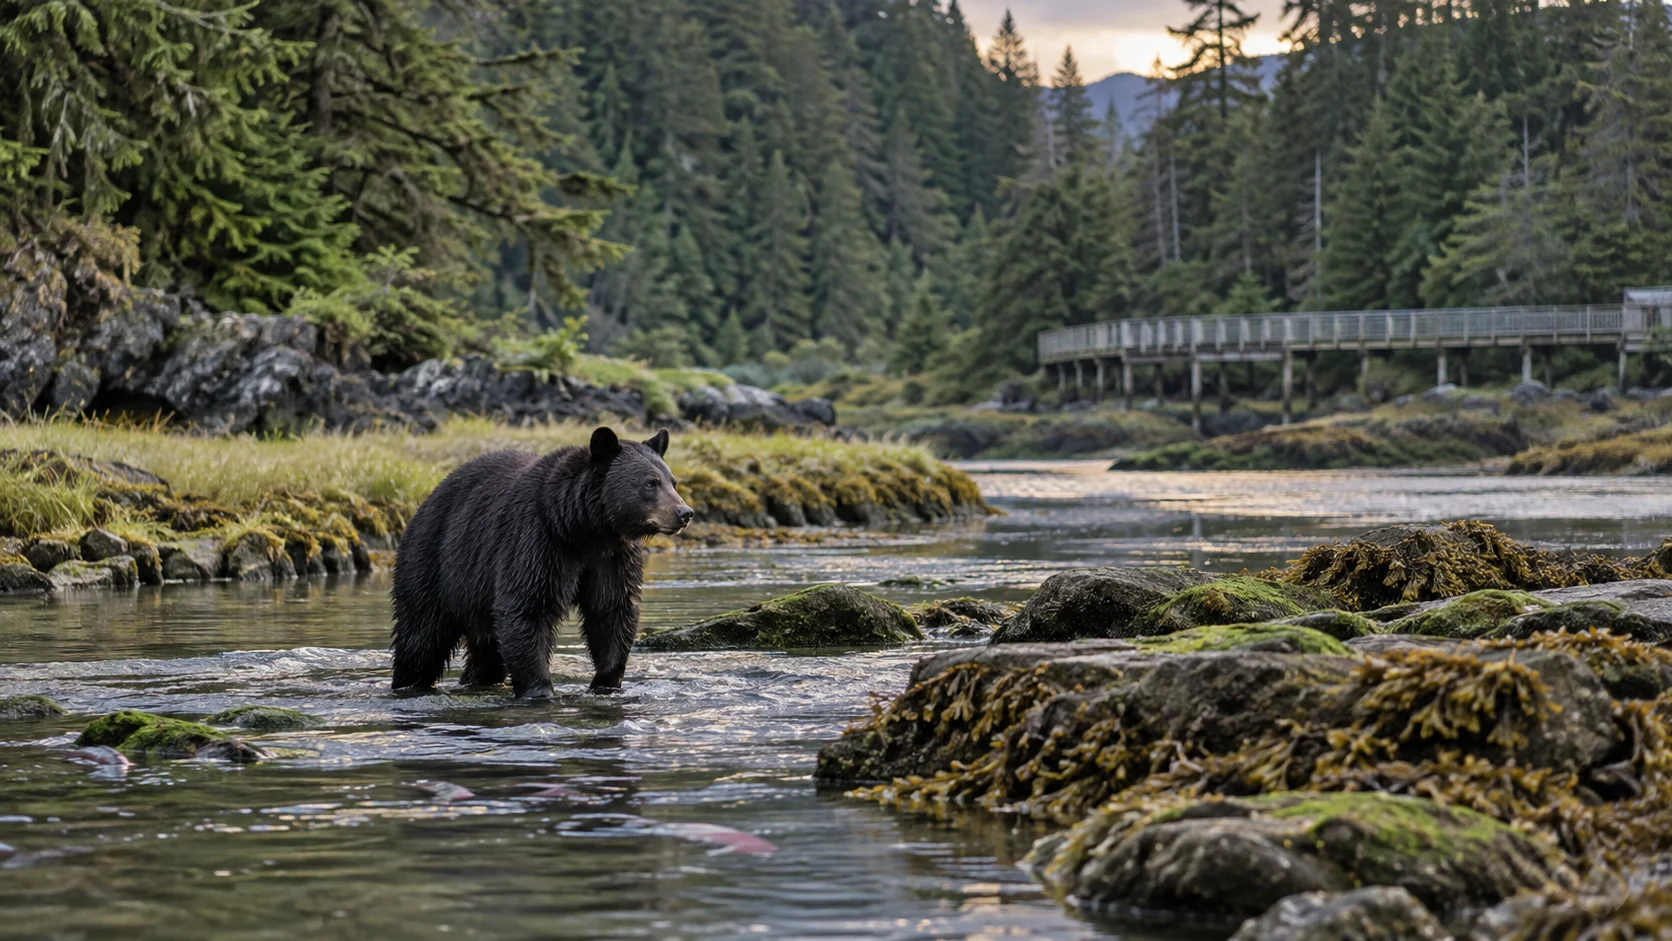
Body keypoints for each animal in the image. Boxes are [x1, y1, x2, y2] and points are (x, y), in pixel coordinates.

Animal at [390, 426, 693, 697]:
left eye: (673, 481)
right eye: (650, 483)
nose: (685, 512)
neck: (582, 529)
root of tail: (424, 505)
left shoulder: (611, 559)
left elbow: (611, 609)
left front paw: (605, 683)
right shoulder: (536, 542)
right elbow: (527, 607)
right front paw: (541, 689)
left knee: (486, 650)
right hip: (434, 564)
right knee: (421, 638)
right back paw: (409, 682)